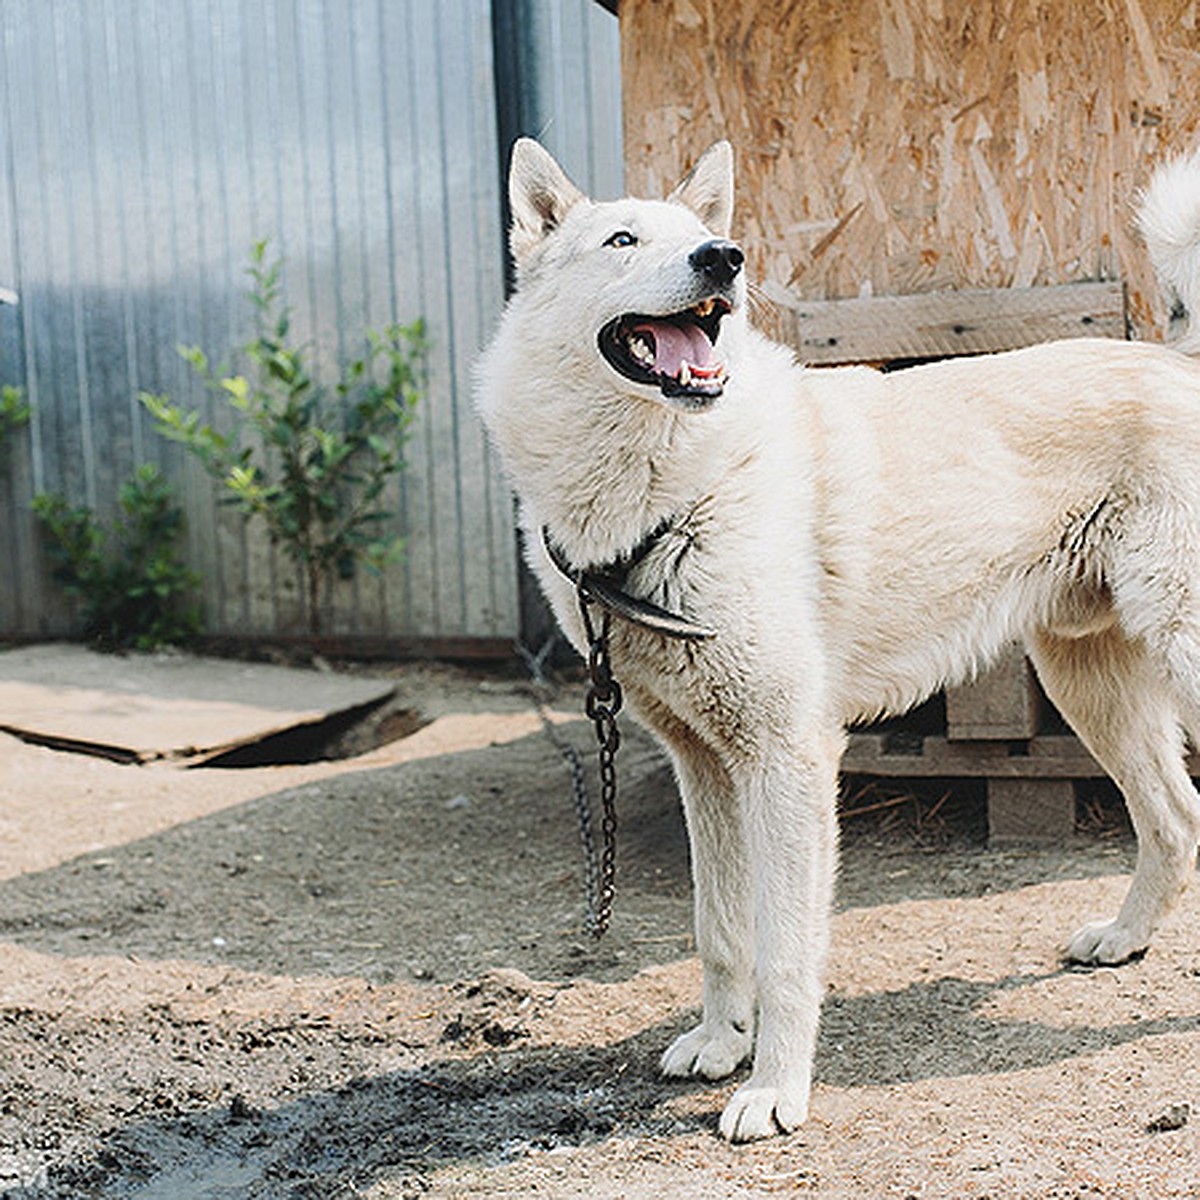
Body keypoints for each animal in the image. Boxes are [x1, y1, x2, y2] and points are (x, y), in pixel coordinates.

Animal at [472, 136, 1200, 1137]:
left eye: (700, 235)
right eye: (622, 240)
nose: (723, 260)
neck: (674, 491)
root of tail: (1180, 363)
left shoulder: (787, 759)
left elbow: (785, 949)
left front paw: (774, 1090)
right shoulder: (705, 767)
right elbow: (718, 929)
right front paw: (720, 1043)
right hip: (1089, 685)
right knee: (1175, 818)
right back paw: (1123, 940)